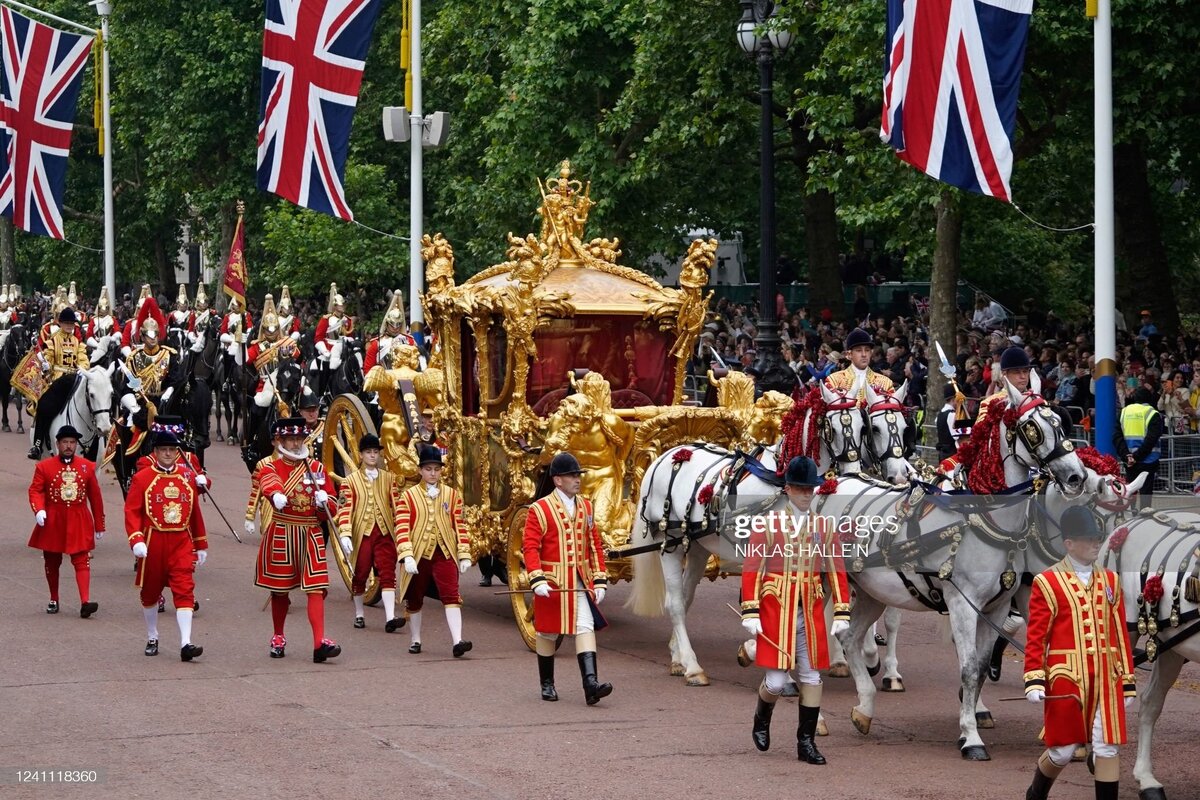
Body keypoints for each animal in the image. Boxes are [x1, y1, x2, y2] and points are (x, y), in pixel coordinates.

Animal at [830, 381, 1094, 762]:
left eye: (1061, 422)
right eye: (1032, 428)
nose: (1075, 476)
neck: (985, 522)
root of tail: (836, 481)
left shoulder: (997, 607)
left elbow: (981, 668)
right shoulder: (962, 604)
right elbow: (968, 667)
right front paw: (970, 738)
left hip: (871, 592)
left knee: (849, 636)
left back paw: (864, 708)